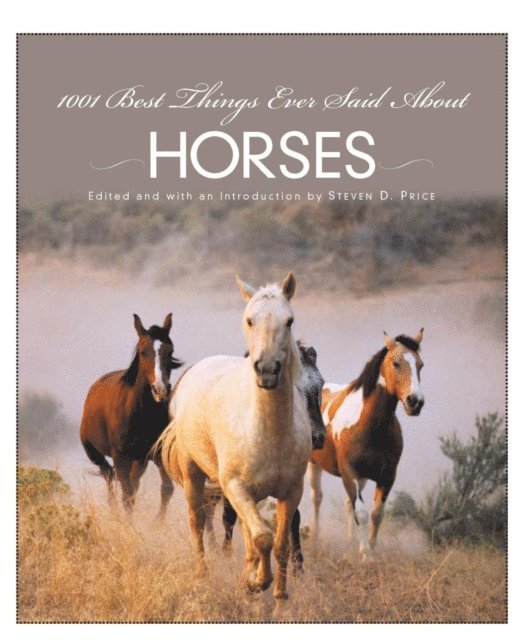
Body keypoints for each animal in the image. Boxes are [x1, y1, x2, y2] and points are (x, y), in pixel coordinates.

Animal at [80, 313, 183, 517]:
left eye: (170, 351)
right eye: (143, 351)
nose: (160, 391)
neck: (140, 414)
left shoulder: (157, 455)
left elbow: (166, 489)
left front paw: (156, 523)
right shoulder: (120, 458)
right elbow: (126, 495)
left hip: (139, 461)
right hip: (97, 455)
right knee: (109, 479)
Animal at [159, 272, 312, 600]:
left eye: (289, 320)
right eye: (249, 320)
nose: (267, 370)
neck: (269, 431)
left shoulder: (290, 492)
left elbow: (278, 544)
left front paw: (278, 598)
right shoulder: (236, 487)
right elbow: (263, 537)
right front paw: (255, 582)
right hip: (193, 475)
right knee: (197, 521)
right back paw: (203, 573)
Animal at [308, 329, 425, 559]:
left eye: (420, 365)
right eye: (396, 363)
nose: (415, 401)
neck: (369, 426)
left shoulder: (387, 476)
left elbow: (376, 513)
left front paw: (371, 547)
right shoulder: (349, 473)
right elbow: (361, 512)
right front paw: (366, 555)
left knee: (346, 504)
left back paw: (350, 541)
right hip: (313, 464)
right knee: (317, 497)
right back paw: (315, 537)